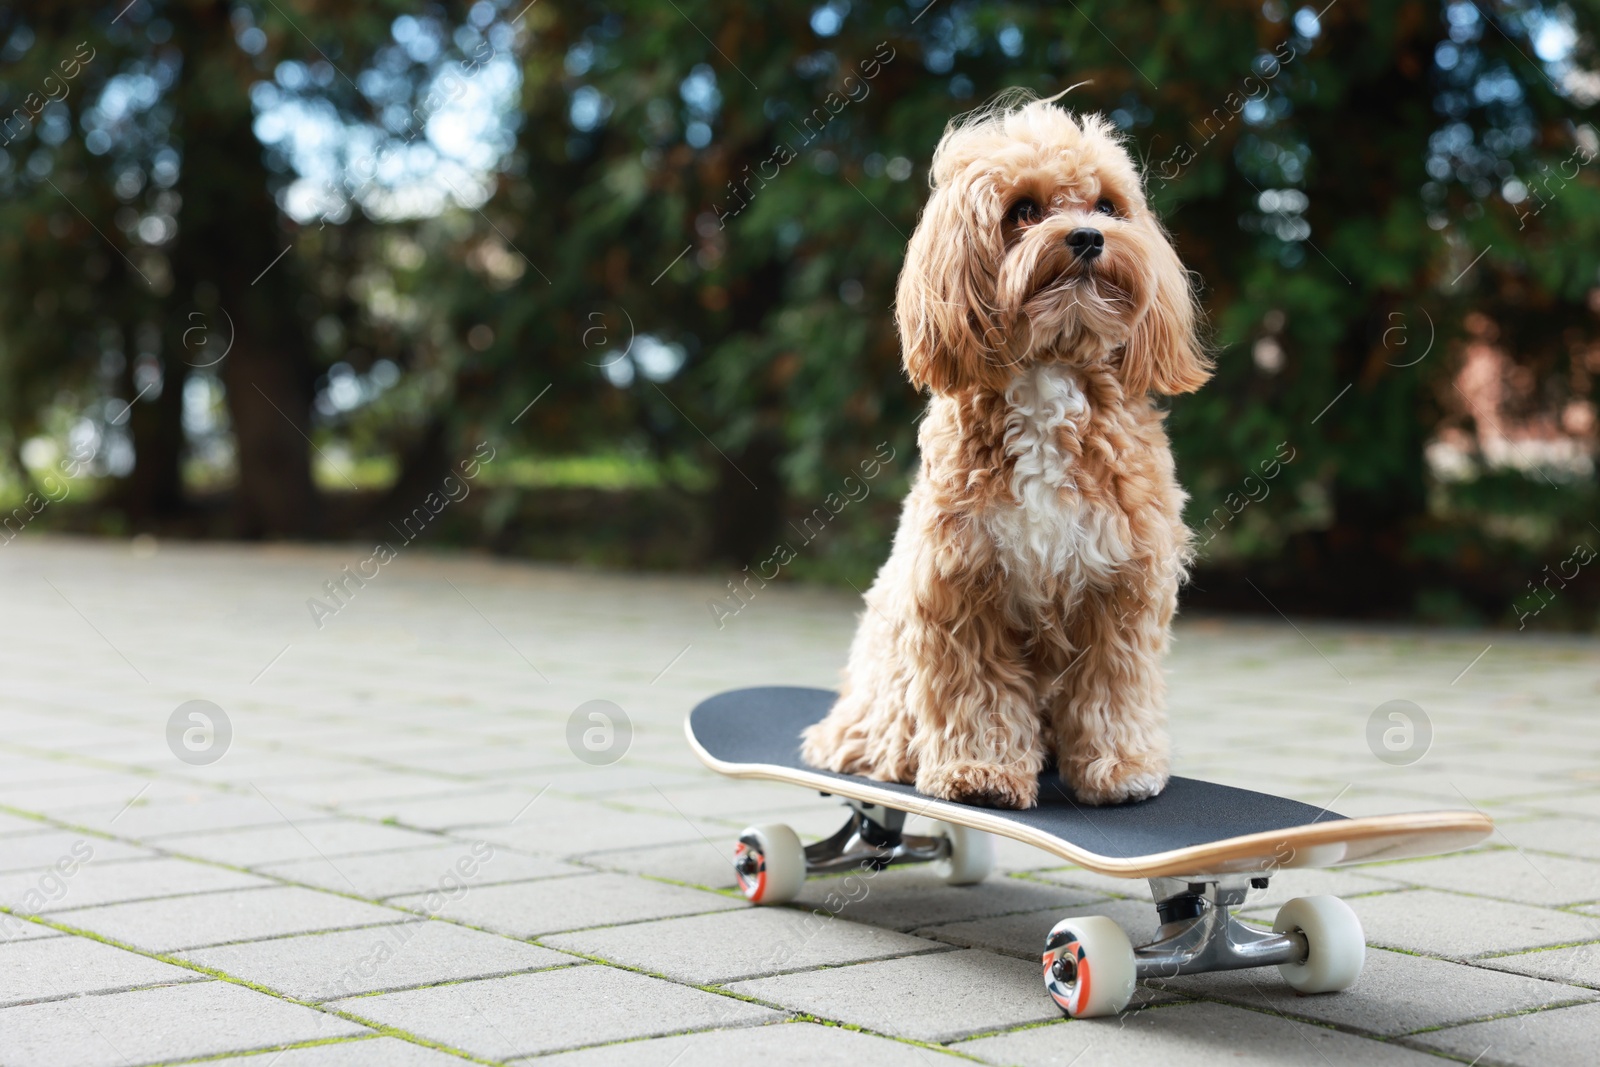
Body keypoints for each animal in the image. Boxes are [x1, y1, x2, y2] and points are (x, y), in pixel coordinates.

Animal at [806, 97, 1203, 809]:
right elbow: (979, 692)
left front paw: (1121, 767)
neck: (1049, 369)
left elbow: (1113, 687)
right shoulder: (962, 586)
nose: (1088, 238)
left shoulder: (1123, 586)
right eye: (1024, 209)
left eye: (1108, 205)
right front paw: (980, 772)